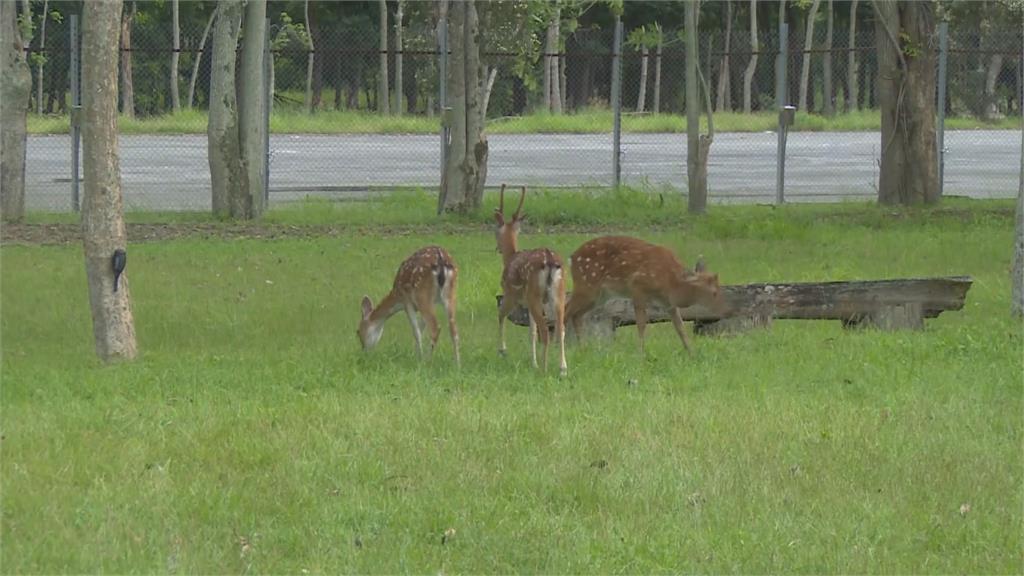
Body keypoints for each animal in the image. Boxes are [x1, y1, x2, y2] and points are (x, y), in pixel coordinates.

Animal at [493, 183, 569, 377]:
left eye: (494, 230)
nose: (497, 248)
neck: (510, 257)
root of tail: (550, 260)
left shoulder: (510, 293)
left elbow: (501, 315)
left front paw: (502, 350)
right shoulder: (526, 303)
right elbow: (532, 332)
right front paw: (532, 362)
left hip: (534, 294)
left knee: (546, 331)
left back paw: (544, 368)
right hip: (558, 294)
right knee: (560, 329)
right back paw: (562, 368)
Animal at [569, 234, 729, 352]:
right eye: (714, 293)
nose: (726, 311)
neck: (671, 284)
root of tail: (572, 258)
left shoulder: (668, 303)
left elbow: (680, 327)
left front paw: (691, 352)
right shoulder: (638, 286)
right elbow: (641, 323)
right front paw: (641, 353)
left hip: (600, 295)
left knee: (576, 314)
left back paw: (582, 348)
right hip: (586, 286)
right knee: (567, 308)